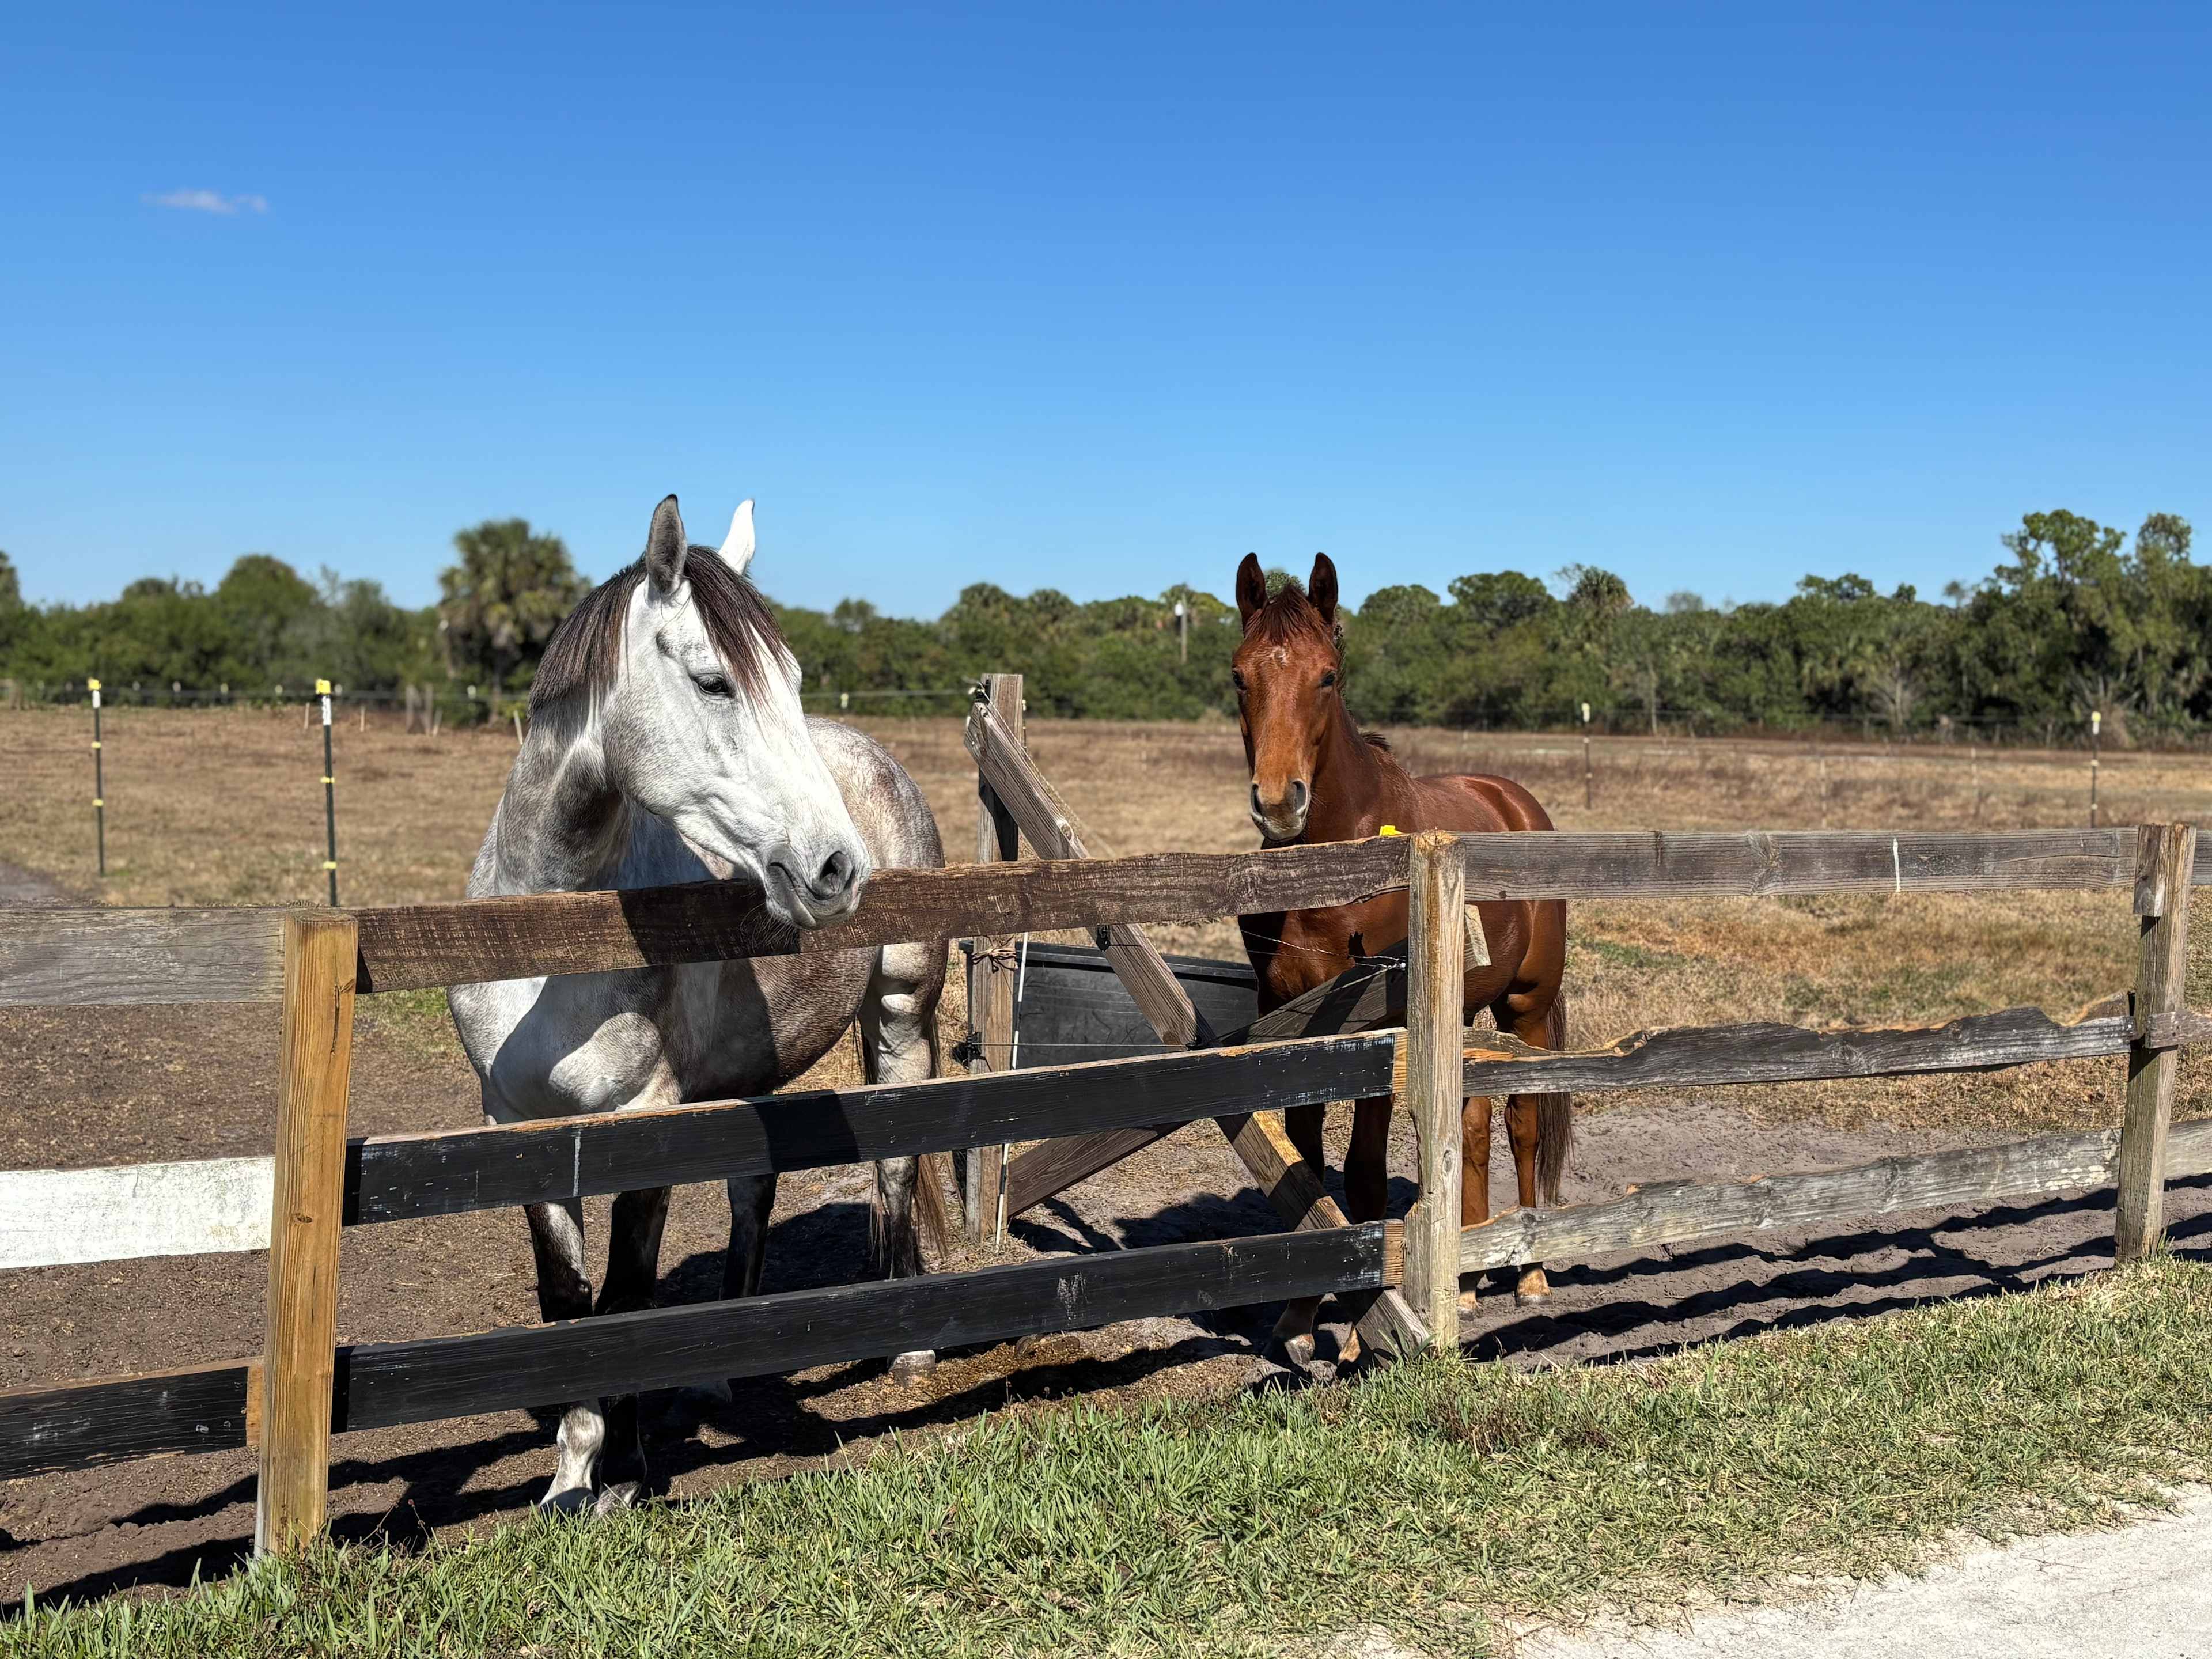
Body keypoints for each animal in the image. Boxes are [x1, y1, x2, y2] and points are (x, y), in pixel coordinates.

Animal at [448, 493, 947, 1514]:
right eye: (716, 683)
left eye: (790, 679)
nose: (836, 868)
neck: (549, 945)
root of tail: (874, 760)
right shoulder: (517, 1123)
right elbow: (568, 1300)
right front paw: (570, 1478)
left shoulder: (646, 1115)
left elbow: (629, 1297)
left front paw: (625, 1475)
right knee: (753, 1193)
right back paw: (714, 1376)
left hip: (901, 1018)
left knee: (896, 1166)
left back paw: (909, 1347)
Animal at [1230, 551, 1572, 1353]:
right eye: (1239, 678)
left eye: (1328, 676)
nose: (1279, 802)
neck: (1334, 870)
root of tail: (1516, 802)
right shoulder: (1294, 1023)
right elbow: (1308, 1166)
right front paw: (1300, 1317)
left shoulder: (1382, 1034)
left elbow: (1362, 1173)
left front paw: (1359, 1328)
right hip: (1468, 1009)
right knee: (1472, 1128)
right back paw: (1469, 1279)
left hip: (1528, 1007)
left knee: (1524, 1123)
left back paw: (1530, 1273)